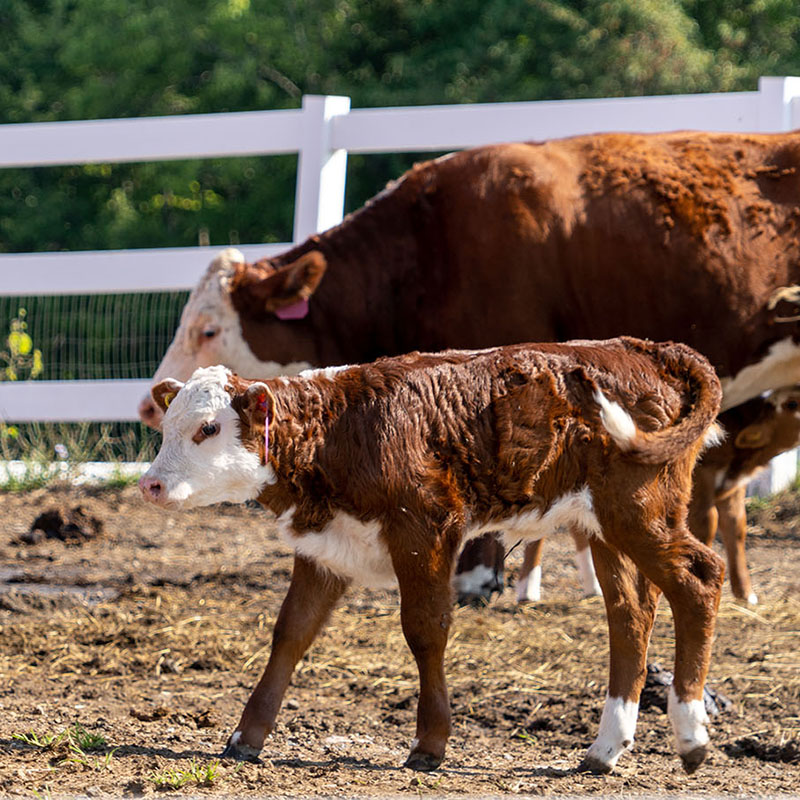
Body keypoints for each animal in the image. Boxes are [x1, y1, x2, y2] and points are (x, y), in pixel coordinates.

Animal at [141, 338, 728, 776]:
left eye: (208, 428)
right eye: (167, 427)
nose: (150, 485)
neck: (341, 429)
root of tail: (649, 350)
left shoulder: (423, 531)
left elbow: (425, 630)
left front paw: (430, 742)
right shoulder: (324, 547)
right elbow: (291, 634)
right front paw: (247, 735)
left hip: (639, 510)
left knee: (699, 579)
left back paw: (691, 734)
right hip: (604, 524)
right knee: (630, 615)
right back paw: (605, 748)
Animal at [688, 384, 800, 604]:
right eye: (792, 404)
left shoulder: (734, 487)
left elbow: (736, 525)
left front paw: (745, 593)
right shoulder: (702, 476)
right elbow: (707, 523)